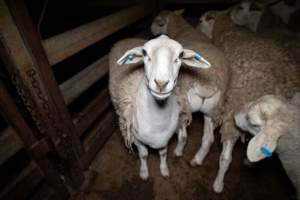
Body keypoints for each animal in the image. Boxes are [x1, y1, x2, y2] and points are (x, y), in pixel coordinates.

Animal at [108, 35, 211, 180]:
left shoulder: (164, 139)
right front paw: (144, 172)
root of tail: (128, 38)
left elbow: (163, 153)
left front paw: (164, 170)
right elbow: (143, 154)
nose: (161, 83)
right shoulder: (136, 138)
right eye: (144, 52)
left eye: (181, 55)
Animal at [151, 10, 231, 193]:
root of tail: (207, 84)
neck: (180, 28)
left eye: (158, 22)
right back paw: (197, 160)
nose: (151, 31)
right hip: (212, 110)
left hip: (182, 102)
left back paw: (178, 152)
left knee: (183, 136)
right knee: (209, 139)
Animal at [196, 9, 300, 192]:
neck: (226, 29)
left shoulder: (221, 103)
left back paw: (218, 184)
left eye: (202, 20)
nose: (195, 27)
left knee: (226, 158)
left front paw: (198, 158)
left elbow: (208, 138)